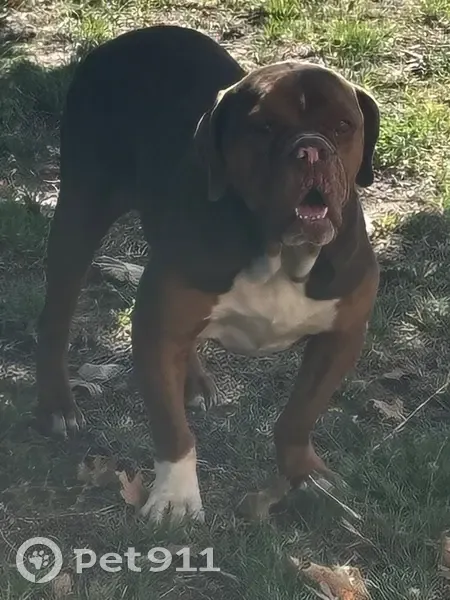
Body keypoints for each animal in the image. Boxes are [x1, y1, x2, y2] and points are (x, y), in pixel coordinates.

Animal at [36, 25, 380, 523]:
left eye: (343, 126)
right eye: (264, 127)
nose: (312, 149)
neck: (278, 251)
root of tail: (132, 37)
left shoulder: (342, 335)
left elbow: (300, 415)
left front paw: (306, 474)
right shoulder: (156, 327)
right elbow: (172, 429)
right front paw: (176, 495)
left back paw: (194, 380)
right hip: (80, 210)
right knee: (56, 316)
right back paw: (58, 404)